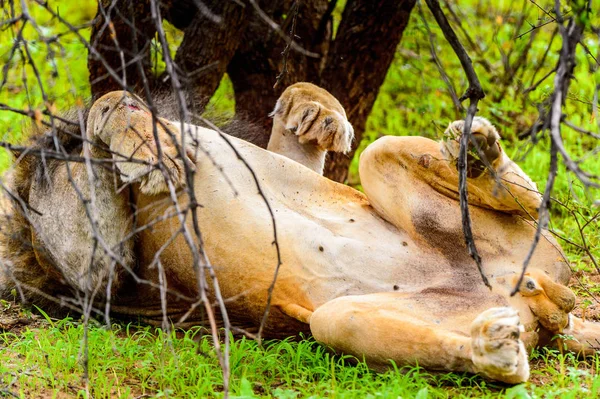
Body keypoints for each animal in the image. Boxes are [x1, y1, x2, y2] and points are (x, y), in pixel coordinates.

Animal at [1, 83, 600, 384]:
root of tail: (545, 300)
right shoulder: (94, 274)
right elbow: (101, 115)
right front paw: (135, 135)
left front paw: (311, 110)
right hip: (343, 318)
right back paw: (493, 349)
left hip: (428, 189)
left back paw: (477, 153)